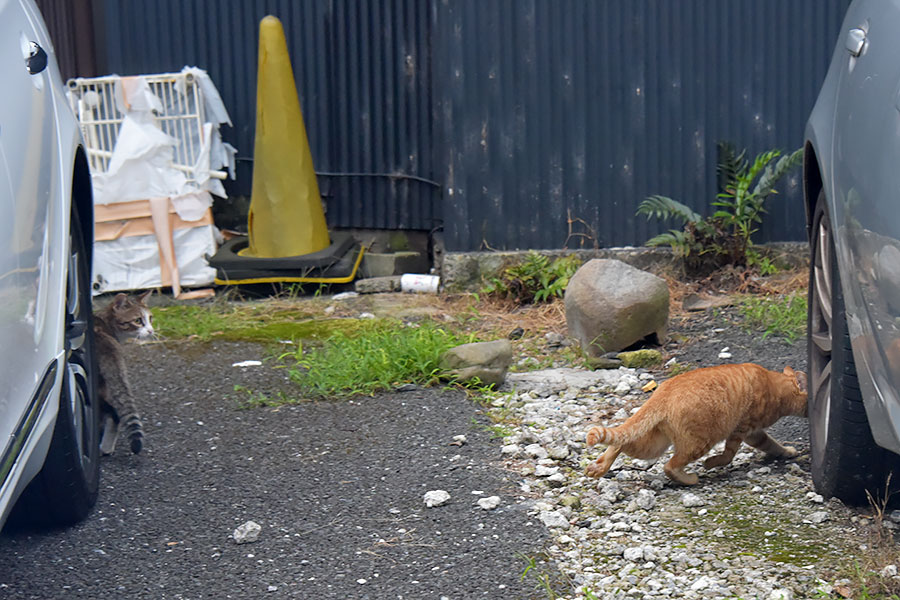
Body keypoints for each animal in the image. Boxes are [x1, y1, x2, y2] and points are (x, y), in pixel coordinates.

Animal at [584, 364, 808, 486]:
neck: (774, 385)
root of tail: (662, 391)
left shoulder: (755, 433)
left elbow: (772, 444)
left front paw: (787, 452)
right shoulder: (742, 429)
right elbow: (728, 455)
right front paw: (711, 464)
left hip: (652, 445)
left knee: (619, 443)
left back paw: (598, 468)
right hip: (699, 442)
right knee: (670, 466)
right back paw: (690, 479)